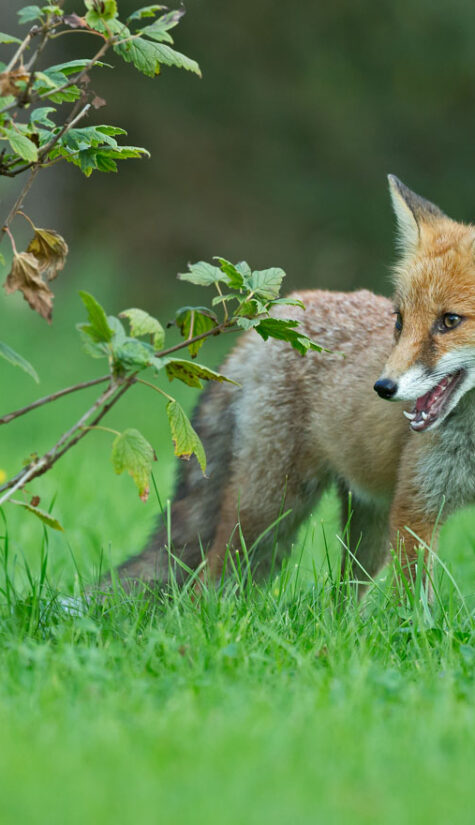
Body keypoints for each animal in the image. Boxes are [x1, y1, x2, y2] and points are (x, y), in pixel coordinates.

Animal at [115, 175, 475, 595]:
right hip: (269, 509)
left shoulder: (411, 507)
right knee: (208, 581)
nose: (384, 387)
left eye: (450, 321)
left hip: (365, 528)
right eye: (399, 321)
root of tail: (274, 314)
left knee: (342, 594)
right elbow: (412, 603)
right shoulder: (417, 509)